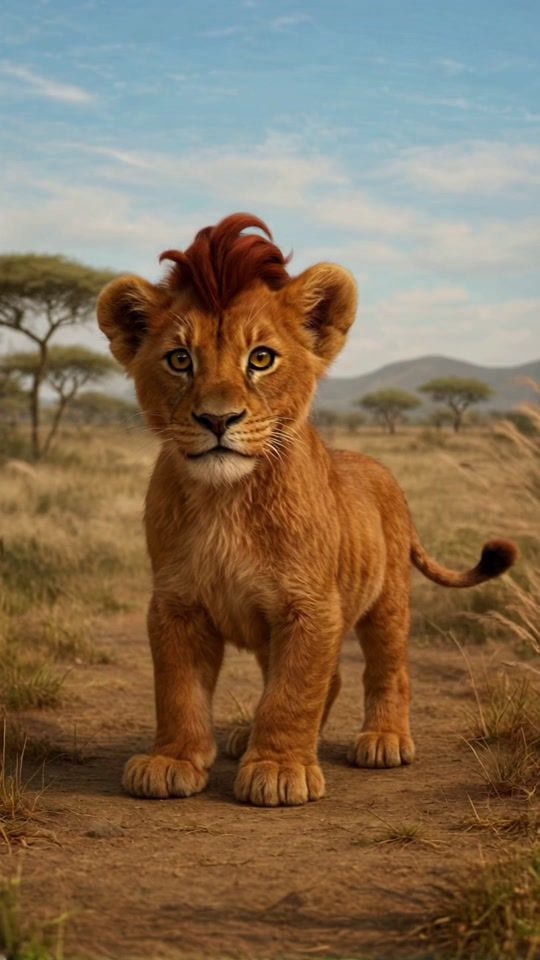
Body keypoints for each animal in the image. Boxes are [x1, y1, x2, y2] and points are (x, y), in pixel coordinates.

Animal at [97, 213, 518, 807]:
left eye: (261, 358)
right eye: (180, 360)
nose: (217, 419)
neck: (226, 501)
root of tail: (379, 468)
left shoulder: (311, 606)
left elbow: (293, 691)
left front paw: (277, 768)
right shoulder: (176, 604)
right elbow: (178, 689)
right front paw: (172, 760)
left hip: (388, 601)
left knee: (387, 671)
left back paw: (384, 739)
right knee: (327, 679)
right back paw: (248, 736)